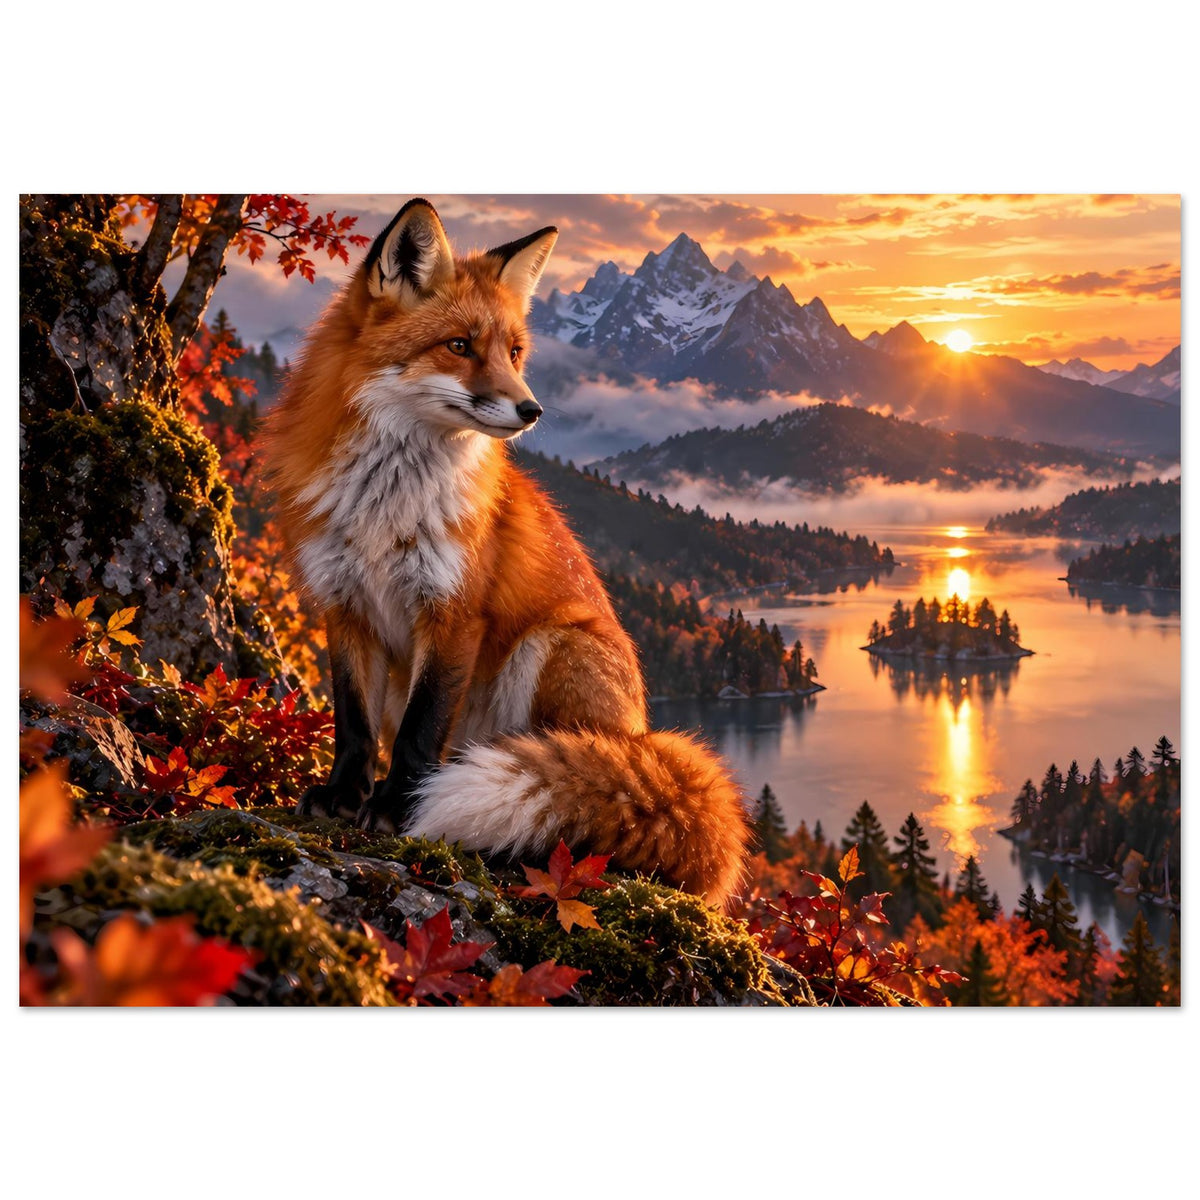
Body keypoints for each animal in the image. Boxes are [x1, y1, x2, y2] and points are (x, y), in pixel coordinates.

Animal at [263, 198, 749, 907]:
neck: (386, 507)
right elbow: (353, 725)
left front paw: (398, 810)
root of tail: (642, 734)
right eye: (460, 346)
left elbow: (419, 732)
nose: (532, 409)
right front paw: (343, 797)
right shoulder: (344, 603)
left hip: (550, 646)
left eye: (515, 352)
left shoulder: (454, 611)